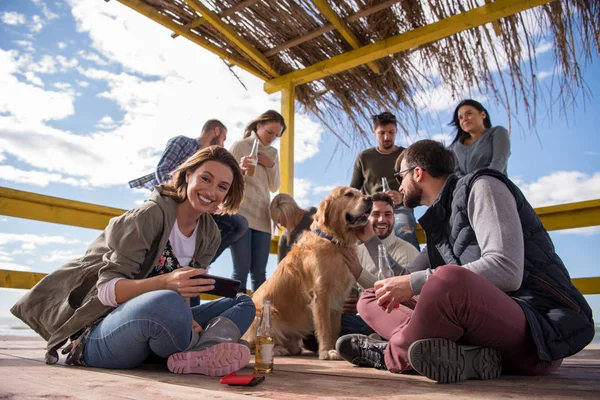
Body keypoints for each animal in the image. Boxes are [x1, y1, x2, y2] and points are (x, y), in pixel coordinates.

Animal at [241, 187, 372, 360]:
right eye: (349, 194)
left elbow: (335, 328)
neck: (333, 240)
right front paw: (327, 351)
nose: (371, 198)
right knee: (253, 344)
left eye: (359, 192)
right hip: (265, 314)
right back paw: (277, 349)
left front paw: (335, 347)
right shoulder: (321, 293)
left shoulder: (338, 298)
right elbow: (325, 327)